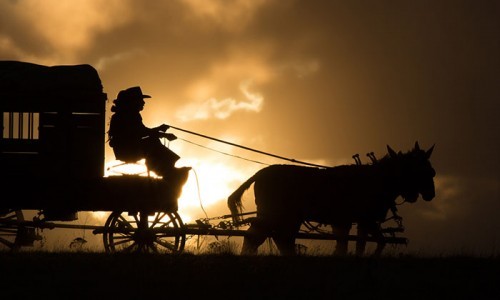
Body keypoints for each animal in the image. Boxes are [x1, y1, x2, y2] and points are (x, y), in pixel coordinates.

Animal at [229, 142, 436, 255]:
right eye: (424, 171)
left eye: (432, 172)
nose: (430, 195)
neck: (378, 179)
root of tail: (260, 173)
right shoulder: (366, 220)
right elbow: (375, 242)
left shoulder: (349, 222)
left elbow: (353, 245)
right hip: (275, 214)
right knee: (261, 237)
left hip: (285, 217)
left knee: (275, 238)